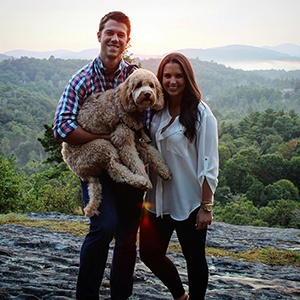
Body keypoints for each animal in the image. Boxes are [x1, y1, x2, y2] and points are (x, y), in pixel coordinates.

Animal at [61, 69, 171, 217]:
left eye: (152, 85)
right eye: (138, 85)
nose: (147, 94)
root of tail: (83, 173)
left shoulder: (138, 139)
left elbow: (153, 155)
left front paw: (165, 172)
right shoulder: (123, 140)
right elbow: (135, 163)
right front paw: (144, 178)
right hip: (102, 145)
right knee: (116, 171)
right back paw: (141, 181)